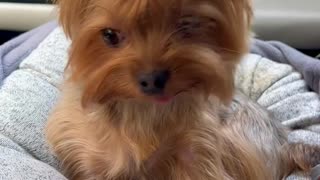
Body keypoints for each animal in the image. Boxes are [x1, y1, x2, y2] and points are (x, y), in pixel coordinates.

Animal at [46, 0, 318, 179]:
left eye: (186, 26)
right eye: (110, 35)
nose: (152, 79)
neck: (140, 112)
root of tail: (285, 144)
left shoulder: (197, 152)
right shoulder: (88, 158)